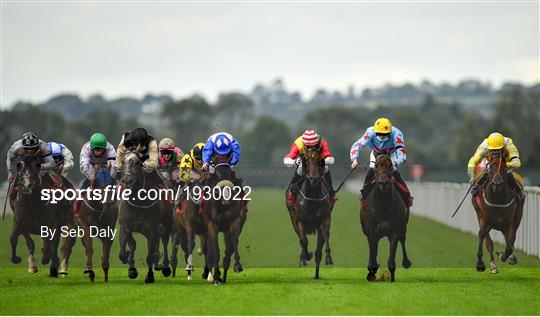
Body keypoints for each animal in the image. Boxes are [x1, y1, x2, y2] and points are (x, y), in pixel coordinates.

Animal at [118, 149, 166, 282]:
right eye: (123, 161)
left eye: (137, 162)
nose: (127, 180)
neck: (138, 203)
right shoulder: (126, 227)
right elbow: (130, 246)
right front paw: (131, 269)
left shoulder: (152, 230)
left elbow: (149, 254)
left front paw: (149, 276)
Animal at [286, 147, 334, 278]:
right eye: (306, 160)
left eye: (320, 159)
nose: (314, 178)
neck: (312, 195)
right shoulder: (299, 220)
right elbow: (303, 240)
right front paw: (306, 256)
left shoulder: (325, 218)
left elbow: (326, 234)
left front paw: (328, 257)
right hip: (293, 221)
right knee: (301, 238)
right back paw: (303, 258)